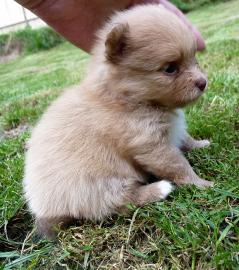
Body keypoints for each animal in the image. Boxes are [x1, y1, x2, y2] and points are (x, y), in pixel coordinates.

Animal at [22, 3, 213, 236]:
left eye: (194, 58)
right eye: (170, 68)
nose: (203, 83)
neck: (127, 98)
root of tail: (43, 210)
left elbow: (185, 139)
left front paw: (201, 144)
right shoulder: (152, 146)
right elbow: (179, 166)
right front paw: (201, 184)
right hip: (100, 184)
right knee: (121, 202)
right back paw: (159, 189)